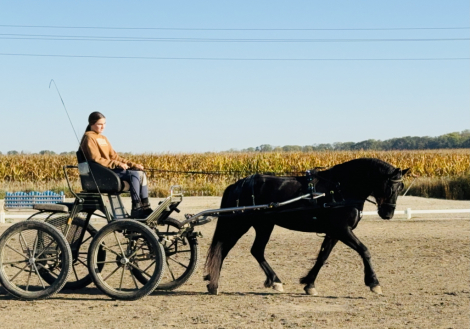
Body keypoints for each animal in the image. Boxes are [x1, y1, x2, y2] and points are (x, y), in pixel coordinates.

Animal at [204, 157, 410, 294]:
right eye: (389, 186)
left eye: (401, 188)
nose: (388, 214)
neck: (340, 189)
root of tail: (239, 184)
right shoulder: (342, 230)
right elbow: (364, 250)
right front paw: (374, 283)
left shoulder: (334, 232)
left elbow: (322, 257)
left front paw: (309, 283)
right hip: (239, 224)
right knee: (224, 248)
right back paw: (213, 284)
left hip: (264, 225)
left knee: (256, 250)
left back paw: (274, 280)